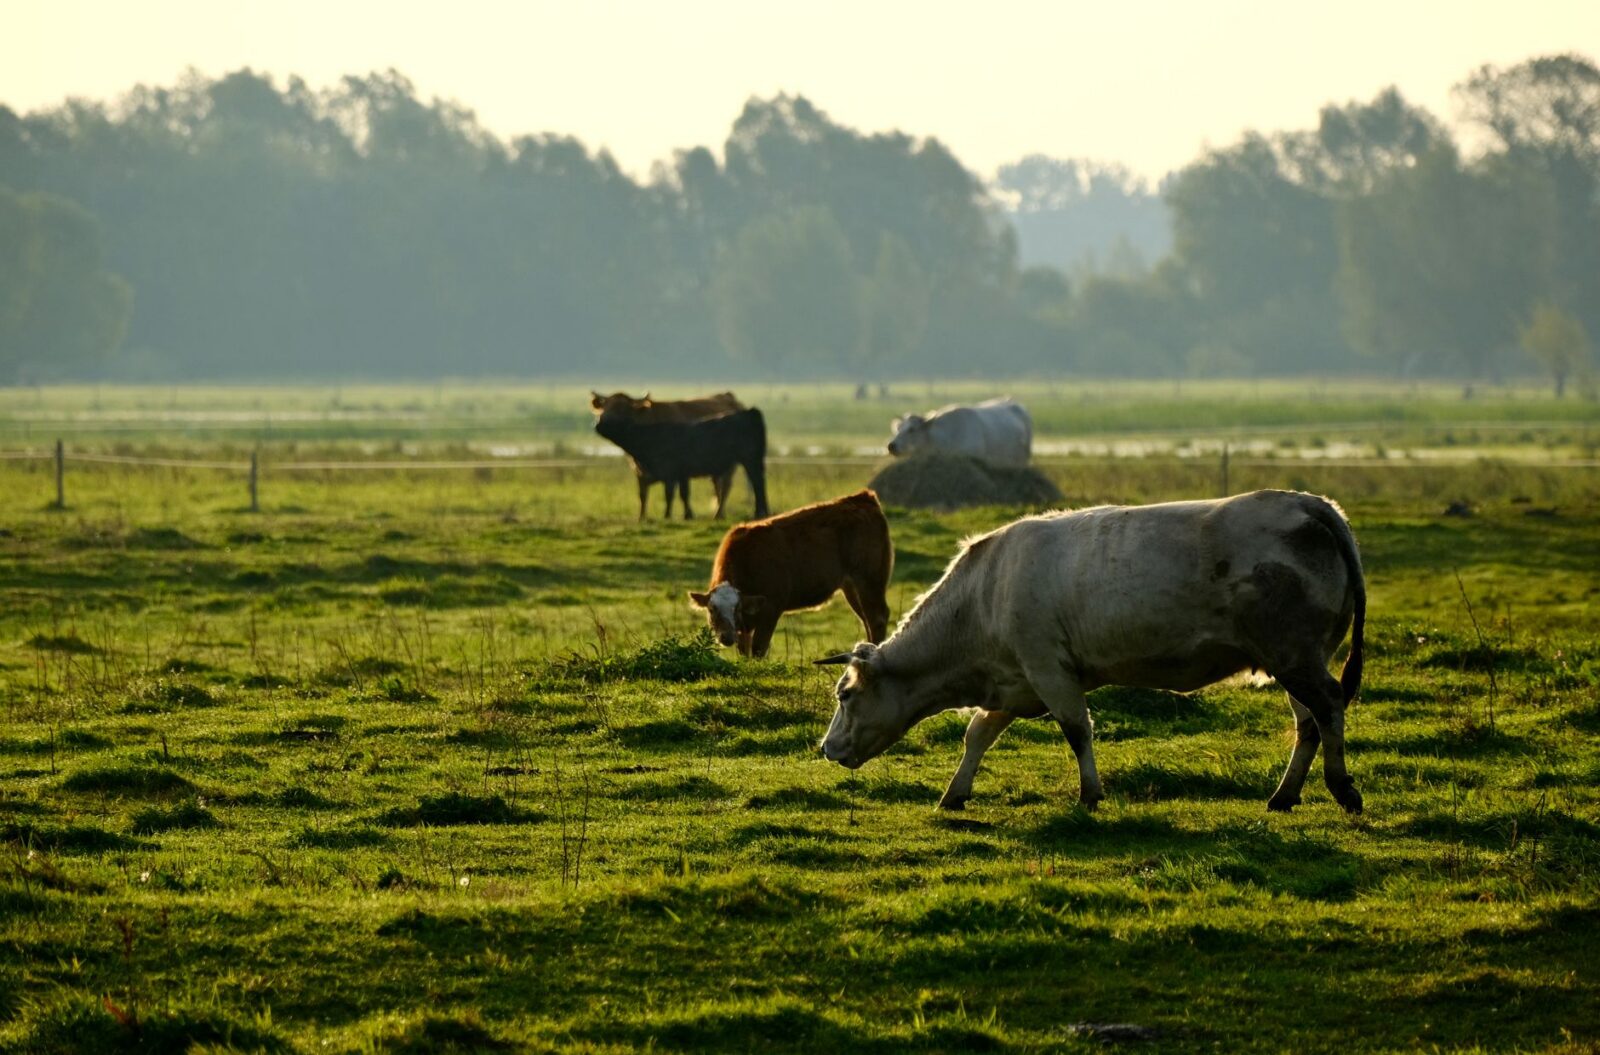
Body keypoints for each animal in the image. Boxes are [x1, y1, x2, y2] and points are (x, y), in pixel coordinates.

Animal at [594, 407, 770, 522]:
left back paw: (759, 513)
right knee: (759, 483)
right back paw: (763, 512)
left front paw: (667, 515)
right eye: (601, 415)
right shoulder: (677, 474)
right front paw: (687, 515)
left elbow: (669, 495)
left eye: (613, 418)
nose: (597, 425)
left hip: (750, 459)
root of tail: (748, 412)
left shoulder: (669, 473)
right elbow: (681, 494)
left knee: (757, 483)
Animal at [689, 490, 893, 659]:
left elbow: (758, 648)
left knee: (877, 618)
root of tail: (863, 498)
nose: (726, 637)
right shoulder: (744, 626)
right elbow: (744, 651)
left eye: (736, 608)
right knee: (866, 618)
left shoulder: (772, 608)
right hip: (851, 587)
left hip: (869, 579)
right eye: (712, 609)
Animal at [816, 490, 1366, 816]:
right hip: (1295, 658)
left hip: (1295, 654)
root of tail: (1308, 503)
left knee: (1330, 706)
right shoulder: (1015, 682)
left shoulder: (1049, 670)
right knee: (1308, 722)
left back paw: (1342, 788)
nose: (826, 748)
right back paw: (1284, 796)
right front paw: (954, 794)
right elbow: (977, 735)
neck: (981, 597)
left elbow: (1077, 731)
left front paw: (1090, 794)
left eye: (845, 696)